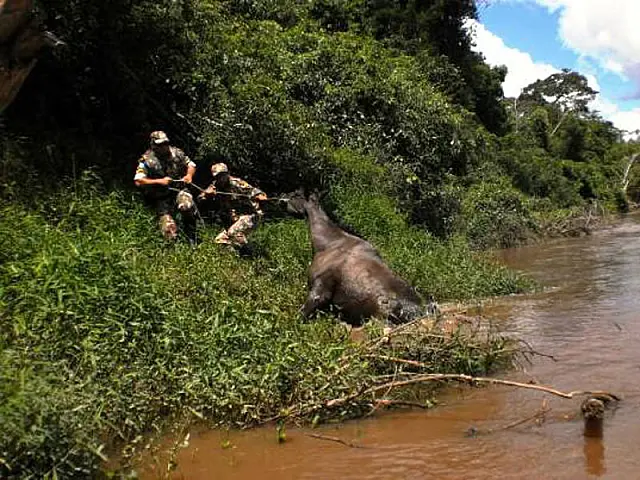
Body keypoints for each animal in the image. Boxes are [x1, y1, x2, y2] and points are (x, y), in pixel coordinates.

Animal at [287, 191, 436, 325]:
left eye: (296, 195)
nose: (284, 200)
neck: (325, 243)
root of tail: (424, 310)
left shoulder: (322, 286)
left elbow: (301, 314)